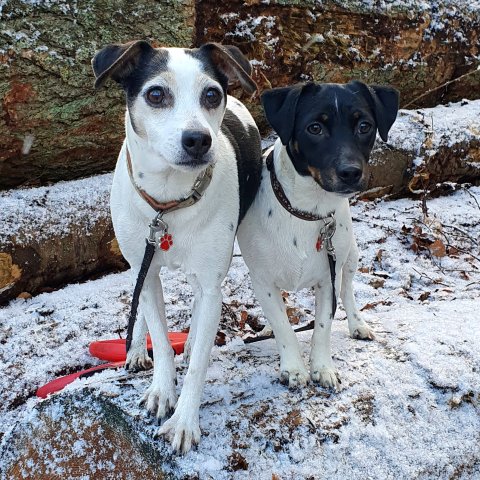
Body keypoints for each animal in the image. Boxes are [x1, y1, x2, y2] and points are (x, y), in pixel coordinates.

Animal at [92, 40, 262, 453]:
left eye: (211, 95)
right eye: (156, 94)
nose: (198, 139)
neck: (169, 203)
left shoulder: (211, 283)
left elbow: (199, 356)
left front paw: (184, 420)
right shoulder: (147, 268)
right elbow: (158, 331)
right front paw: (161, 390)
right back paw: (137, 348)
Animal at [237, 81, 399, 389]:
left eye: (364, 126)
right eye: (314, 128)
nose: (351, 172)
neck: (307, 210)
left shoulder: (328, 277)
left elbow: (323, 325)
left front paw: (322, 368)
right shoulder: (263, 280)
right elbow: (283, 325)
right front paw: (293, 368)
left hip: (350, 258)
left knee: (348, 291)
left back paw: (358, 324)